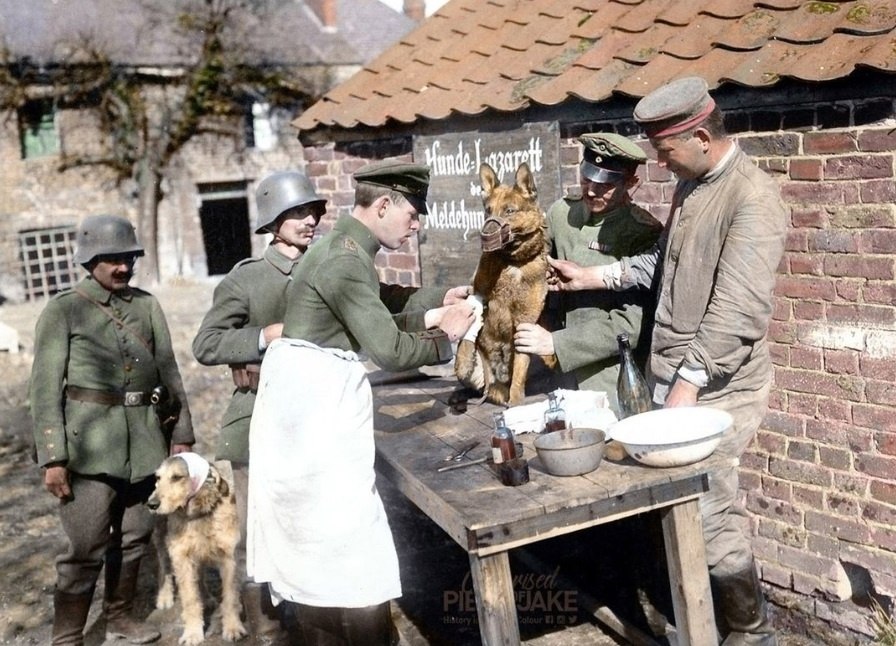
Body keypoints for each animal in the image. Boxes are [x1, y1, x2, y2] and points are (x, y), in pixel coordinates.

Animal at [147, 456, 247, 646]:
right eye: (157, 478)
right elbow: (190, 599)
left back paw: (207, 598)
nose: (152, 504)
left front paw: (233, 628)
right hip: (163, 538)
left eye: (177, 477)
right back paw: (165, 597)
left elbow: (230, 597)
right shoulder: (181, 556)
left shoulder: (229, 558)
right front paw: (192, 633)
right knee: (164, 564)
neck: (198, 512)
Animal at [458, 162, 556, 404]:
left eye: (509, 211)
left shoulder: (524, 322)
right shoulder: (478, 295)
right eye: (488, 210)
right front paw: (462, 360)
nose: (485, 235)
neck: (512, 262)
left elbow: (519, 371)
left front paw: (516, 401)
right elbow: (466, 335)